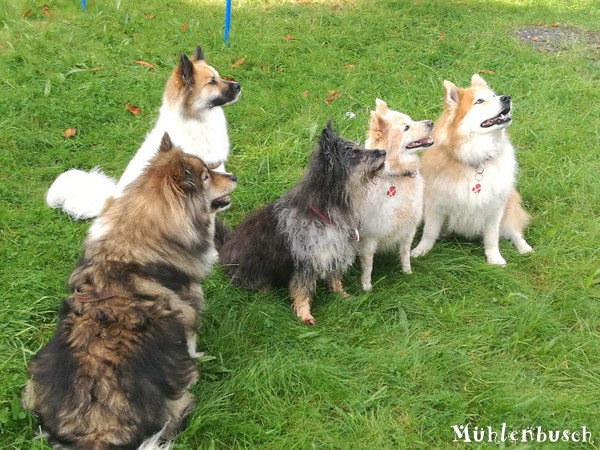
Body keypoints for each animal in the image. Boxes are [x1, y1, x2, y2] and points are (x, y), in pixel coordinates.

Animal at [21, 132, 237, 448]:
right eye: (207, 177)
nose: (233, 176)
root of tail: (96, 432)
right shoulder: (188, 306)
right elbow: (191, 340)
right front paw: (199, 354)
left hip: (34, 382)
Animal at [218, 123, 386, 326]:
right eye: (353, 153)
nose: (384, 151)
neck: (326, 209)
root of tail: (224, 247)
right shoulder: (305, 264)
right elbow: (302, 291)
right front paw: (304, 315)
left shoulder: (333, 252)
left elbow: (335, 278)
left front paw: (343, 295)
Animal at [358, 99, 434, 290]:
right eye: (406, 127)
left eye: (411, 119)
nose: (431, 122)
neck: (396, 175)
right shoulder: (370, 236)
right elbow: (368, 264)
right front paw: (366, 287)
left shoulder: (409, 228)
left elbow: (405, 252)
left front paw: (408, 272)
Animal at [410, 73, 532, 264]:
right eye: (479, 101)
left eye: (494, 95)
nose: (506, 98)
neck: (476, 160)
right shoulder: (435, 204)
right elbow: (429, 232)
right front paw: (421, 251)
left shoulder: (495, 208)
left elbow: (492, 237)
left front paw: (494, 258)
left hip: (509, 208)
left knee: (514, 231)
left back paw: (524, 247)